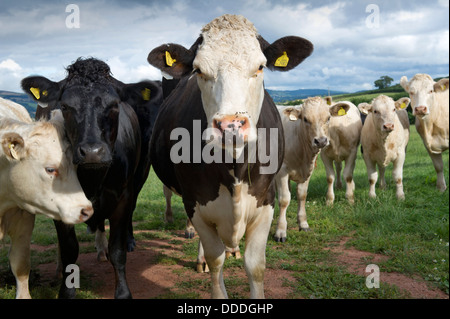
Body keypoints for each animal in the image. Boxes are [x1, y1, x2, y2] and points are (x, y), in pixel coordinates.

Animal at [21, 58, 163, 300]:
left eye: (114, 105)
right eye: (65, 106)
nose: (92, 151)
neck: (92, 178)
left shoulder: (123, 196)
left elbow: (117, 251)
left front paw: (123, 292)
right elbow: (69, 250)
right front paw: (66, 291)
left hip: (141, 173)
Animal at [148, 14, 312, 300]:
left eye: (260, 67)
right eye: (198, 70)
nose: (230, 125)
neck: (235, 168)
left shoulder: (266, 201)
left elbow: (255, 265)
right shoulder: (196, 203)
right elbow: (215, 260)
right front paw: (210, 265)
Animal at [274, 97, 352, 242]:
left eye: (328, 118)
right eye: (305, 119)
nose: (320, 141)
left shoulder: (307, 171)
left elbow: (302, 195)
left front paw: (303, 223)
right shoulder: (282, 172)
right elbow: (284, 199)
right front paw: (280, 231)